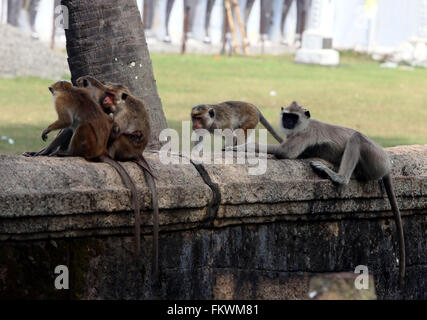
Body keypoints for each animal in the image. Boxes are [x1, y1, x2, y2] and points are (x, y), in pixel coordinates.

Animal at [76, 75, 160, 276]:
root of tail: (137, 154)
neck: (124, 102)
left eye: (111, 95)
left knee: (121, 136)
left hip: (125, 147)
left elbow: (116, 131)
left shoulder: (123, 114)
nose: (105, 101)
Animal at [232, 101, 406, 286]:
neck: (303, 125)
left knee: (356, 137)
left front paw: (239, 147)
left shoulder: (307, 133)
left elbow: (285, 153)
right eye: (287, 116)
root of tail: (387, 164)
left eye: (293, 117)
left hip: (376, 158)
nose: (288, 122)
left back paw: (339, 177)